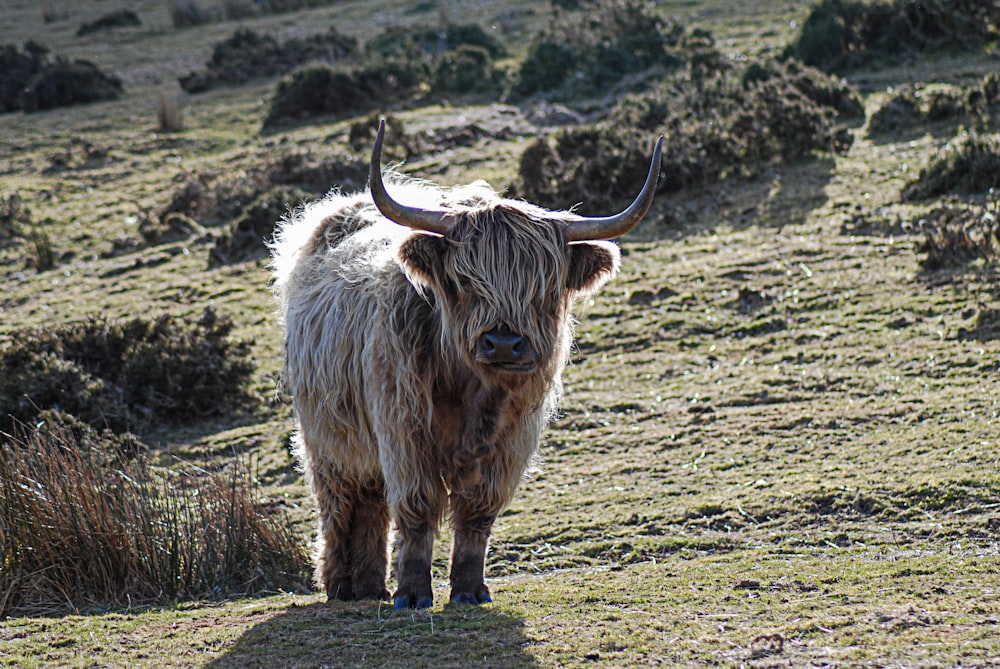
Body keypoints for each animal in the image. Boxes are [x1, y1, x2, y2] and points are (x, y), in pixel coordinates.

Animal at [272, 117, 664, 608]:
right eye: (464, 280)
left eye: (545, 285)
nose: (503, 343)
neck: (472, 390)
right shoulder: (403, 429)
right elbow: (417, 507)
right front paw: (413, 593)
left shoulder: (512, 439)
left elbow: (478, 511)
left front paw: (469, 589)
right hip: (327, 438)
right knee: (340, 502)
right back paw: (342, 585)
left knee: (372, 503)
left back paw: (370, 586)